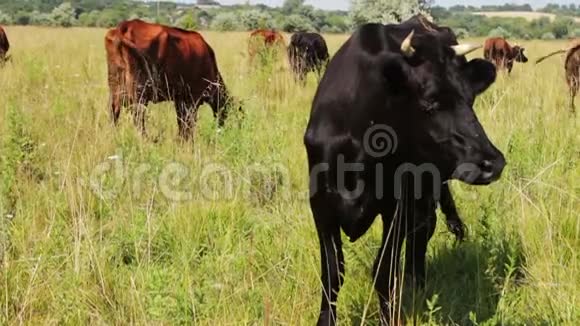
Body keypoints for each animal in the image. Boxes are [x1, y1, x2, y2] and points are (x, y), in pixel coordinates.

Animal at [105, 19, 238, 139]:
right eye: (228, 113)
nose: (222, 130)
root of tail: (124, 26)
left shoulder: (180, 99)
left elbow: (181, 122)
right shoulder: (192, 98)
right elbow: (188, 124)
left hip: (115, 86)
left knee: (114, 112)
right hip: (139, 93)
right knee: (138, 119)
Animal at [306, 15, 506, 326]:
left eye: (470, 99)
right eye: (429, 103)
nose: (492, 163)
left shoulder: (396, 205)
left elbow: (384, 269)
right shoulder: (321, 205)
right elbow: (333, 272)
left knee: (423, 231)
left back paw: (417, 285)